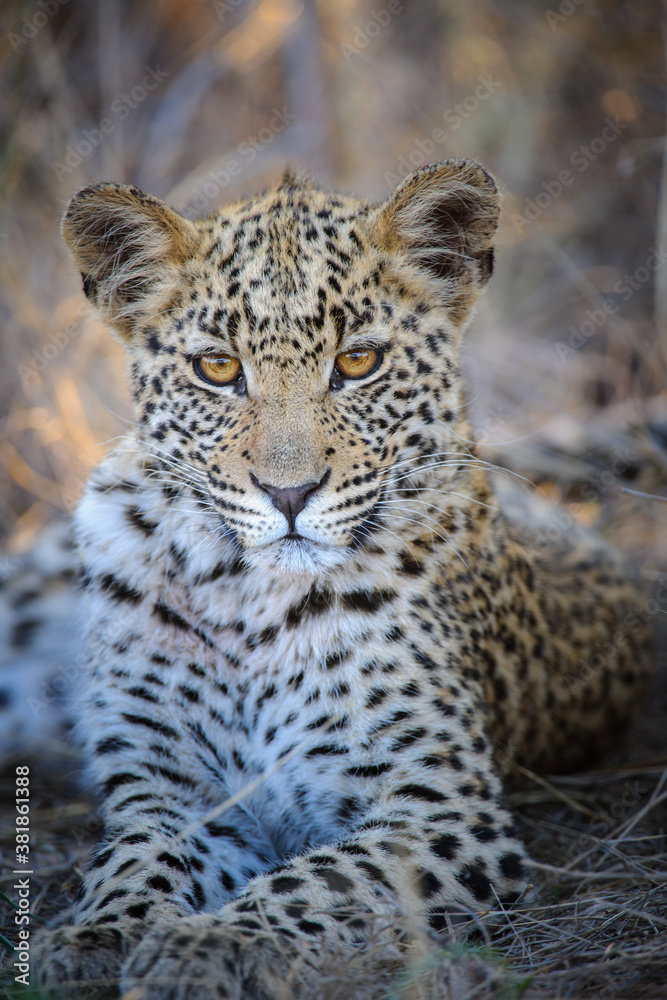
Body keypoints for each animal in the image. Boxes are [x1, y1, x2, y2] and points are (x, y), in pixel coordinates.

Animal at [23, 159, 651, 999]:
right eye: (217, 369)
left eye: (358, 362)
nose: (288, 494)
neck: (245, 596)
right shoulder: (170, 793)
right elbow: (135, 859)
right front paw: (95, 934)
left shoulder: (436, 816)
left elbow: (314, 883)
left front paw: (207, 943)